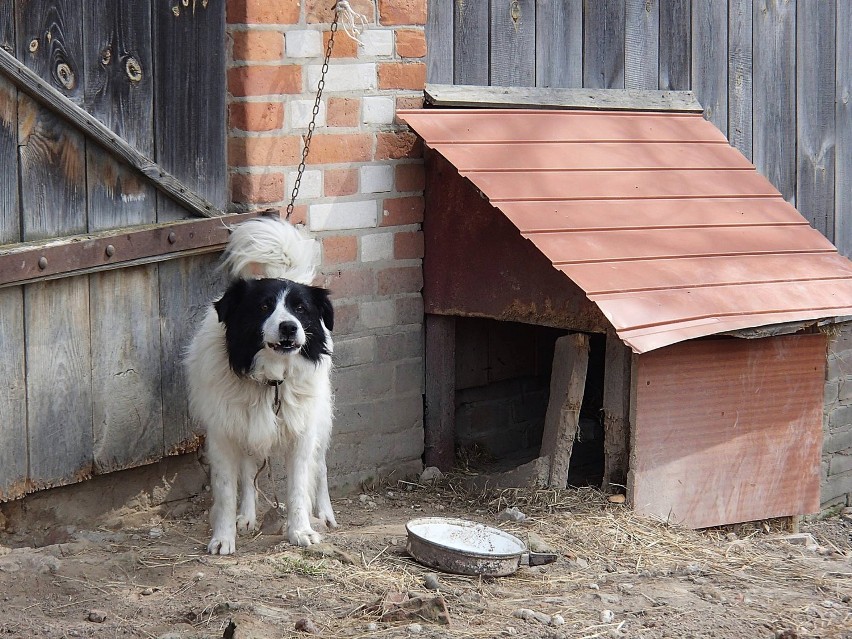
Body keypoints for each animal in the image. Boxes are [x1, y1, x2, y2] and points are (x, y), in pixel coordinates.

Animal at [186, 219, 336, 556]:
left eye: (301, 309)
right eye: (264, 306)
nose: (289, 327)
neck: (271, 380)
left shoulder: (302, 431)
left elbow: (298, 487)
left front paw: (301, 531)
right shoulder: (224, 432)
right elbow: (227, 491)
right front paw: (224, 537)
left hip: (319, 419)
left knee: (320, 466)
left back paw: (325, 513)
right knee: (248, 473)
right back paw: (247, 516)